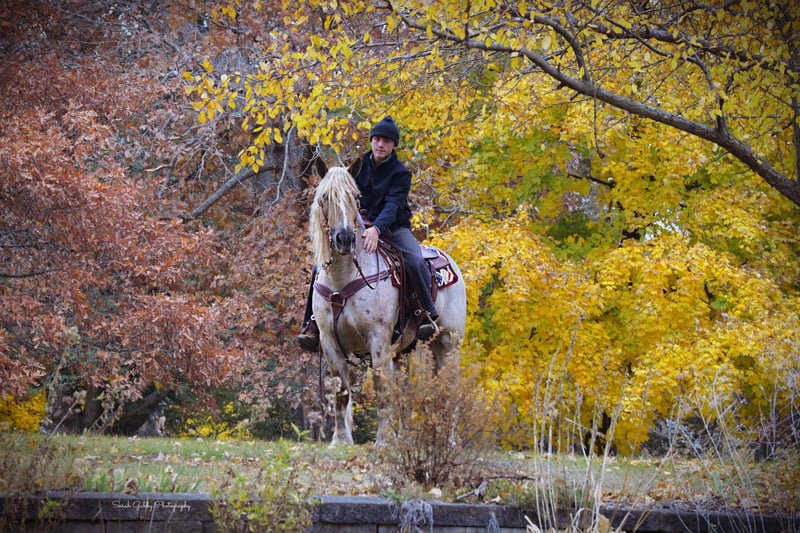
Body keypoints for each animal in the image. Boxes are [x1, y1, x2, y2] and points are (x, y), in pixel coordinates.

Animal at [309, 159, 467, 446]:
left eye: (355, 197)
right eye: (325, 197)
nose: (345, 239)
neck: (343, 279)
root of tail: (450, 263)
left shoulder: (378, 339)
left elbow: (382, 390)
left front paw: (383, 440)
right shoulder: (329, 342)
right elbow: (341, 393)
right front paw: (341, 440)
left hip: (449, 340)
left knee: (451, 386)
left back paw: (448, 440)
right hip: (406, 350)